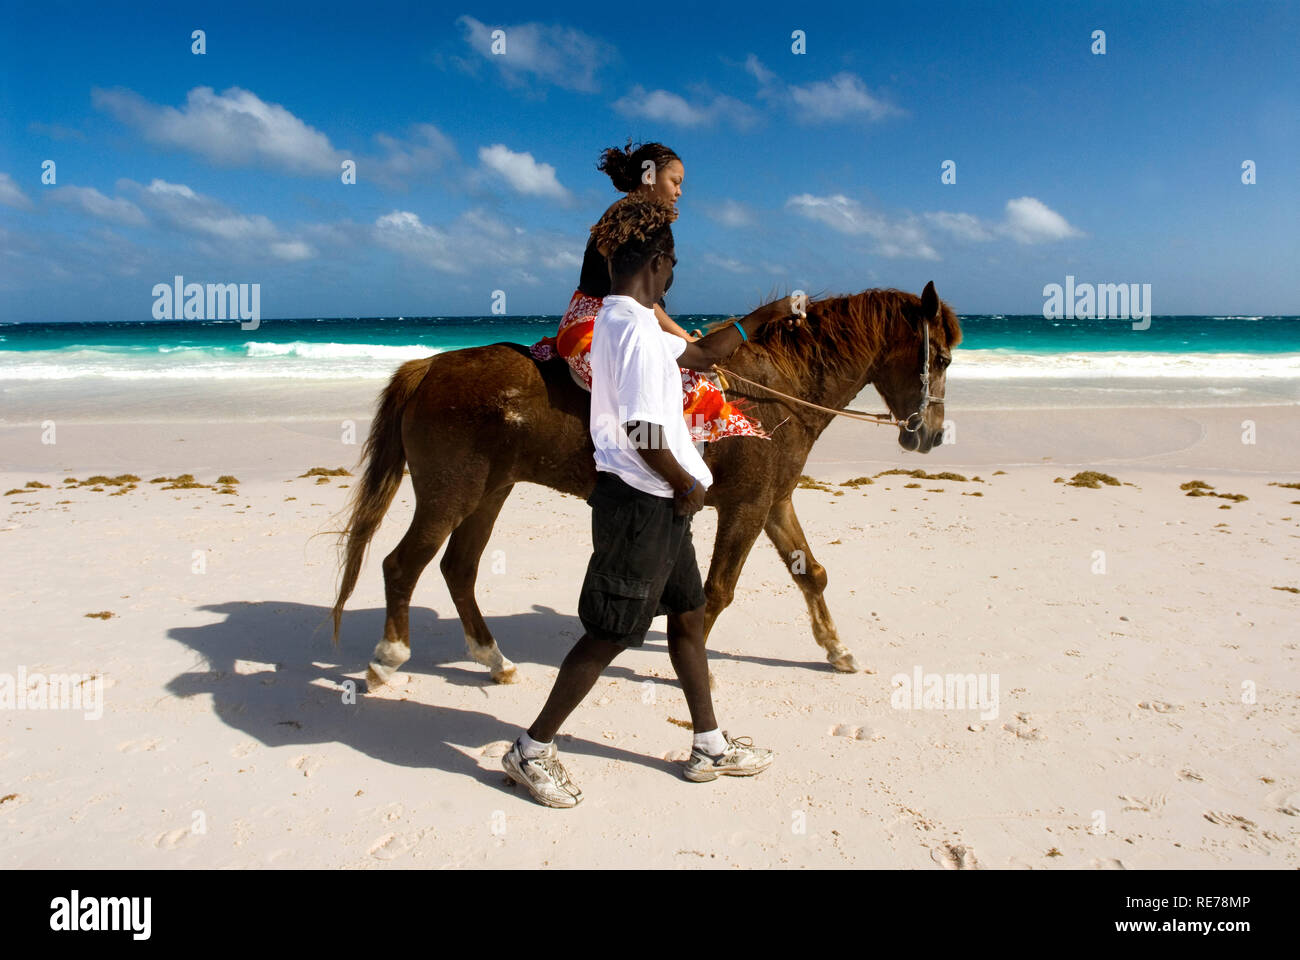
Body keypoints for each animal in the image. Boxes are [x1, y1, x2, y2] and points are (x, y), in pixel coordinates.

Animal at [330, 280, 961, 686]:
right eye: (945, 358)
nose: (929, 435)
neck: (775, 391)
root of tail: (429, 367)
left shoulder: (773, 502)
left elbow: (813, 574)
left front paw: (837, 649)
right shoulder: (746, 508)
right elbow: (718, 591)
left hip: (490, 493)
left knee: (458, 569)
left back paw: (494, 659)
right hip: (450, 495)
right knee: (402, 565)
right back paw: (388, 656)